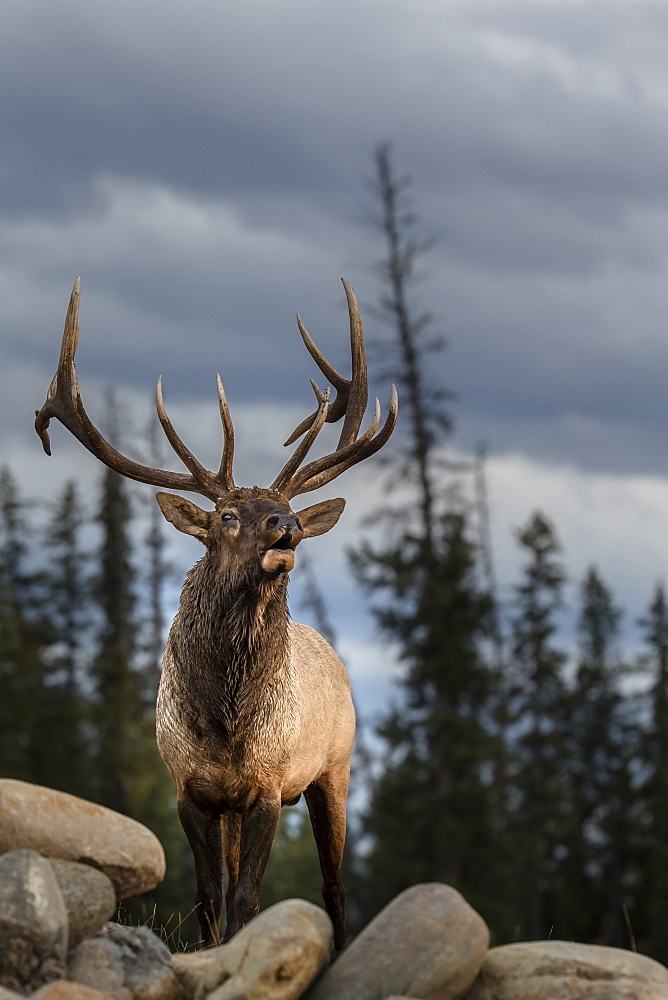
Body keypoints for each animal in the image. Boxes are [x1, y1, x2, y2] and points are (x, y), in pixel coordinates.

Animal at [35, 278, 396, 948]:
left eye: (288, 510)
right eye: (228, 516)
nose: (287, 527)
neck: (226, 724)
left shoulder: (268, 787)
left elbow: (248, 899)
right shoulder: (192, 790)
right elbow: (209, 899)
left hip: (335, 769)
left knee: (334, 887)